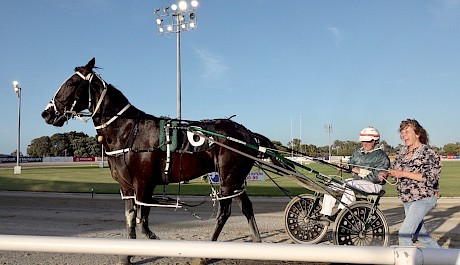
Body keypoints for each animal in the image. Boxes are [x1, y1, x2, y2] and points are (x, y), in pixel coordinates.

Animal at [42, 57, 288, 264]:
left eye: (71, 83)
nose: (46, 113)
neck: (128, 131)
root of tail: (247, 133)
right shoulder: (127, 188)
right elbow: (130, 220)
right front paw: (126, 256)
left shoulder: (144, 185)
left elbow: (143, 224)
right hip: (235, 179)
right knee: (246, 206)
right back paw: (257, 243)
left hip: (228, 178)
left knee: (224, 212)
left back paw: (206, 254)